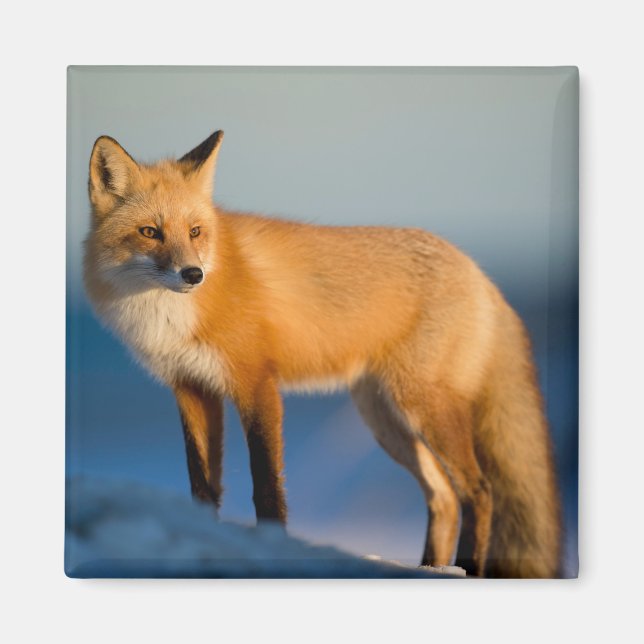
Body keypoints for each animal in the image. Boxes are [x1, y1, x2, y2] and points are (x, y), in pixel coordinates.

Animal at [83, 130, 561, 578]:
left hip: (422, 407)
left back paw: (469, 569)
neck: (169, 316)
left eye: (195, 232)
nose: (193, 274)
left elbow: (267, 485)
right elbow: (202, 486)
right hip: (385, 419)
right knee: (443, 496)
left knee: (479, 491)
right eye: (150, 232)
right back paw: (430, 568)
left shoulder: (256, 383)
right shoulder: (192, 389)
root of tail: (479, 273)